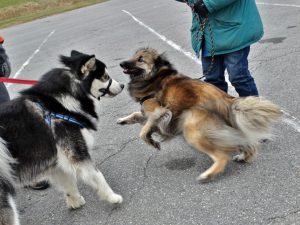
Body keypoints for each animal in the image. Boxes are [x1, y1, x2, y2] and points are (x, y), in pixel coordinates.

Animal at [0, 50, 124, 225]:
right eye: (106, 76)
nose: (123, 85)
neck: (63, 102)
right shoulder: (76, 153)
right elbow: (97, 175)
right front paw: (112, 197)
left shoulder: (57, 160)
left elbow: (68, 182)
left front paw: (75, 201)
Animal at [118, 48, 282, 183]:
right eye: (134, 56)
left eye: (140, 59)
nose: (121, 63)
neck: (155, 76)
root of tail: (227, 101)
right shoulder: (150, 113)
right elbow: (137, 115)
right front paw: (122, 120)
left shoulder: (160, 111)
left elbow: (143, 131)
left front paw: (152, 141)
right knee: (245, 142)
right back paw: (243, 156)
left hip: (192, 127)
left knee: (222, 156)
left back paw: (208, 175)